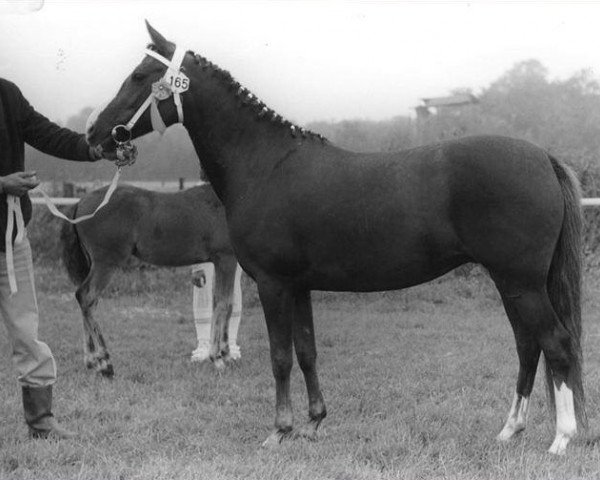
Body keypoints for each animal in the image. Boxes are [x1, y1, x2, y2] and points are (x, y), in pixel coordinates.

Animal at [60, 183, 239, 376]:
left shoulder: (227, 261)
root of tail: (80, 203)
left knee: (89, 303)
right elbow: (223, 304)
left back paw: (92, 361)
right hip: (106, 263)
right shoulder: (225, 259)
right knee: (86, 297)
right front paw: (218, 359)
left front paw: (227, 355)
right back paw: (105, 362)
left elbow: (228, 305)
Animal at [88, 23, 584, 454]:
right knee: (528, 346)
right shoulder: (299, 286)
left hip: (520, 282)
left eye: (139, 76)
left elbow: (280, 357)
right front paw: (313, 424)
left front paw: (279, 431)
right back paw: (510, 430)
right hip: (511, 282)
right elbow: (307, 352)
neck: (265, 165)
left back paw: (561, 439)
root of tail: (543, 157)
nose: (95, 135)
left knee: (555, 342)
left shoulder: (273, 284)